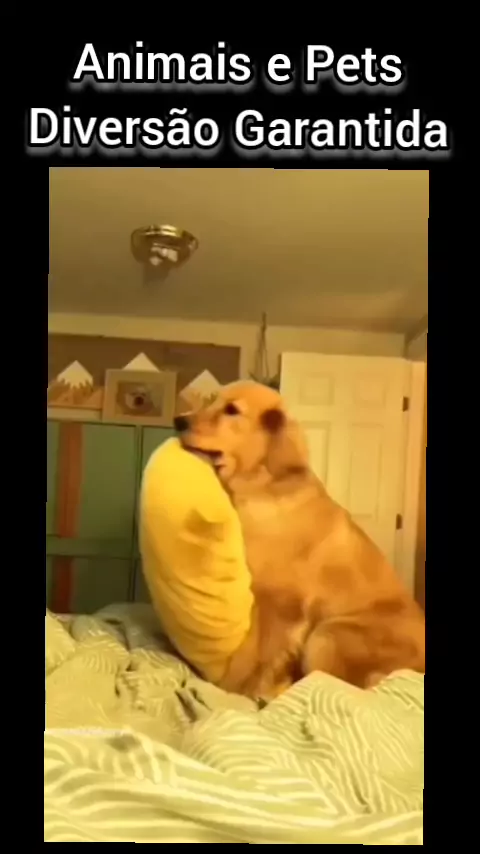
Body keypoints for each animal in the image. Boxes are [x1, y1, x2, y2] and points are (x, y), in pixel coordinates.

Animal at [174, 380, 425, 700]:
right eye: (211, 401)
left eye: (232, 410)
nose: (178, 421)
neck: (263, 485)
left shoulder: (280, 604)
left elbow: (250, 655)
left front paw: (230, 691)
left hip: (328, 634)